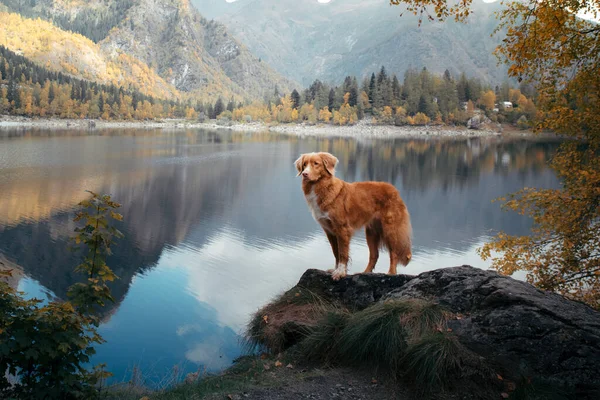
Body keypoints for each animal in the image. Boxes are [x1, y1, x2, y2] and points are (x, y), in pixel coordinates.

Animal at [296, 152, 412, 280]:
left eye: (316, 163)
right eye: (304, 164)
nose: (305, 174)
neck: (322, 187)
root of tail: (394, 190)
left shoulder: (342, 229)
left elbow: (342, 253)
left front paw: (340, 272)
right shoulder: (330, 231)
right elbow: (336, 252)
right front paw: (336, 269)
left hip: (390, 229)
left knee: (394, 253)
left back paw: (391, 273)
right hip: (371, 232)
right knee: (374, 255)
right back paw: (365, 273)